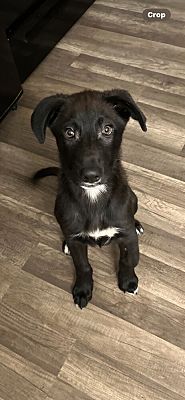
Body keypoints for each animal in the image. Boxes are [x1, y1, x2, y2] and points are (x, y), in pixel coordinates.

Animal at [31, 90, 147, 310]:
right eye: (69, 132)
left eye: (107, 129)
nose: (91, 176)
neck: (94, 198)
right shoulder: (76, 240)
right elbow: (82, 266)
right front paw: (83, 289)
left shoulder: (126, 235)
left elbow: (128, 259)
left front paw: (128, 281)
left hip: (133, 199)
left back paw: (137, 224)